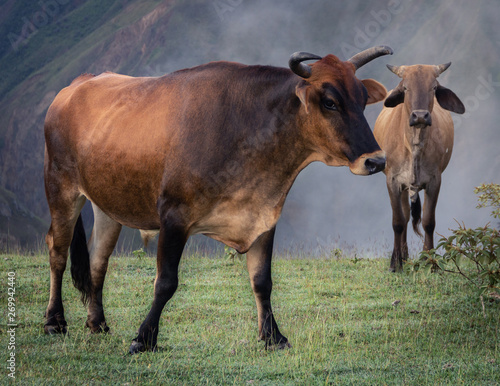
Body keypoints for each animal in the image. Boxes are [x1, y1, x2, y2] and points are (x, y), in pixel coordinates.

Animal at [43, 45, 392, 352]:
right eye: (330, 102)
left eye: (363, 100)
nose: (376, 161)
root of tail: (77, 84)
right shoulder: (174, 215)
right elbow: (166, 281)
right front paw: (144, 338)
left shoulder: (264, 215)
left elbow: (262, 281)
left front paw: (273, 337)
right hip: (60, 187)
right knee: (57, 251)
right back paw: (54, 322)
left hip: (107, 204)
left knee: (97, 259)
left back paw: (97, 323)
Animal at [374, 62, 466, 272]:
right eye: (405, 87)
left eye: (433, 87)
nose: (420, 116)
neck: (414, 145)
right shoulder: (393, 181)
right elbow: (398, 222)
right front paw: (395, 263)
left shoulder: (435, 181)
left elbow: (428, 222)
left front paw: (430, 262)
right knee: (405, 217)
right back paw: (403, 256)